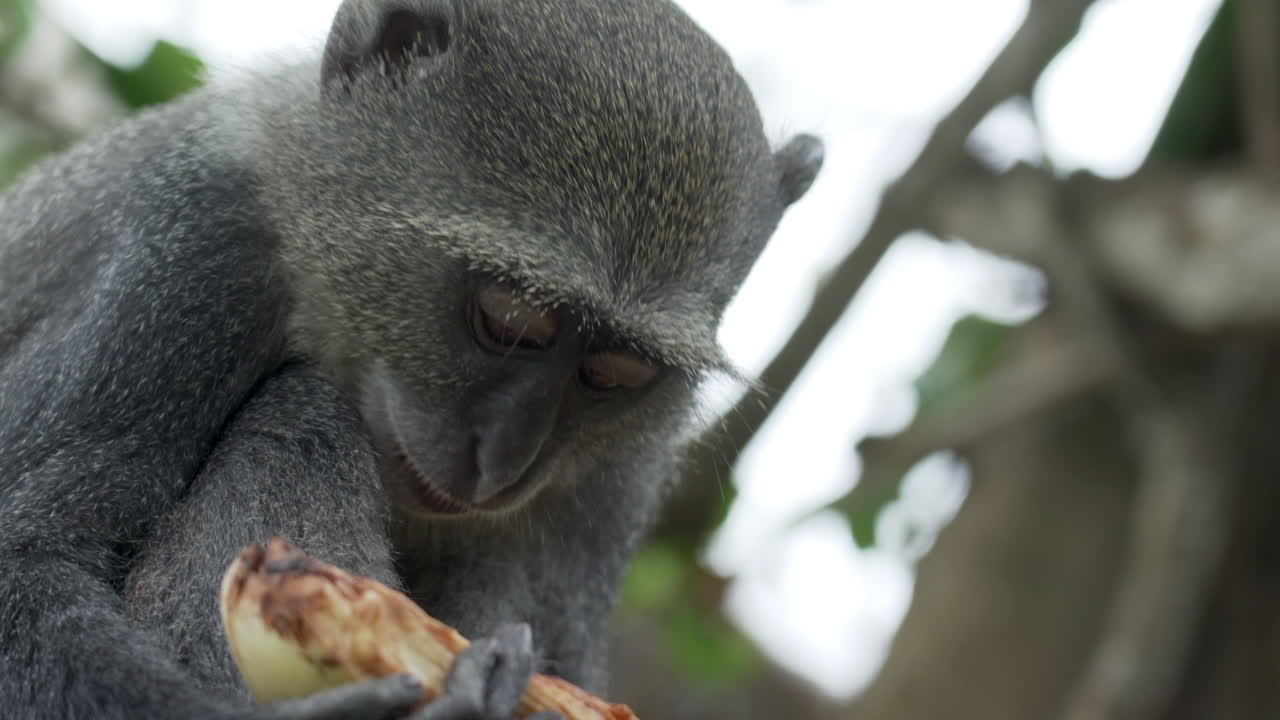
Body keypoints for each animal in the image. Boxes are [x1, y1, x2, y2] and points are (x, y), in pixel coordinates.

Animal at [0, 0, 822, 718]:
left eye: (612, 373)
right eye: (507, 320)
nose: (503, 457)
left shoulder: (622, 468)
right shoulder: (194, 245)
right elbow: (29, 560)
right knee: (302, 410)